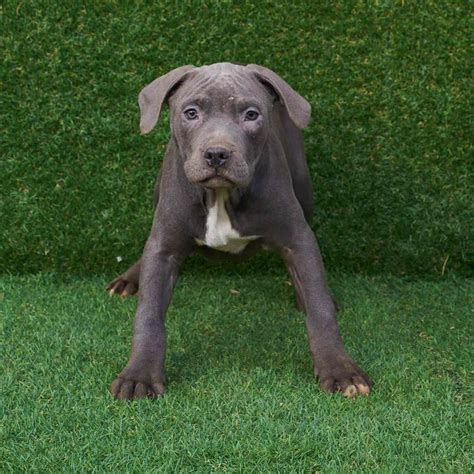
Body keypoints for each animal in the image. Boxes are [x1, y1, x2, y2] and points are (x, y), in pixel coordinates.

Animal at [106, 63, 370, 400]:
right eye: (191, 113)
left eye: (251, 114)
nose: (217, 154)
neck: (222, 196)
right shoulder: (164, 247)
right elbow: (149, 314)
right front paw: (139, 374)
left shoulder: (298, 239)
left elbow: (319, 305)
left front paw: (340, 369)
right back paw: (129, 279)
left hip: (304, 188)